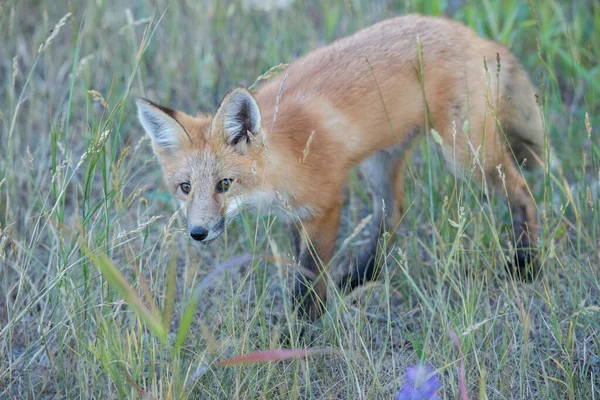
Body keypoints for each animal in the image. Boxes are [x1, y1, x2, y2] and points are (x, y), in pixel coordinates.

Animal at [138, 15, 548, 320]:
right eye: (185, 188)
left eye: (224, 184)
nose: (198, 233)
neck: (285, 159)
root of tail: (476, 37)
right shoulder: (296, 216)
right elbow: (301, 273)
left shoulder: (325, 207)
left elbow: (309, 281)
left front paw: (300, 334)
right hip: (381, 164)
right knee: (392, 217)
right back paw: (363, 277)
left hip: (464, 154)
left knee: (522, 192)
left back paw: (526, 264)